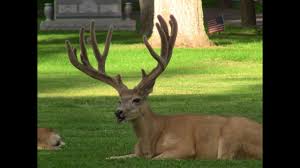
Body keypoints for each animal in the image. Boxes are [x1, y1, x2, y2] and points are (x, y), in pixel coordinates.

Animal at [65, 14, 260, 160]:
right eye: (119, 100)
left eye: (137, 99)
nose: (118, 112)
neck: (150, 141)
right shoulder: (134, 153)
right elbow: (111, 157)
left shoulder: (184, 146)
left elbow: (156, 158)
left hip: (231, 136)